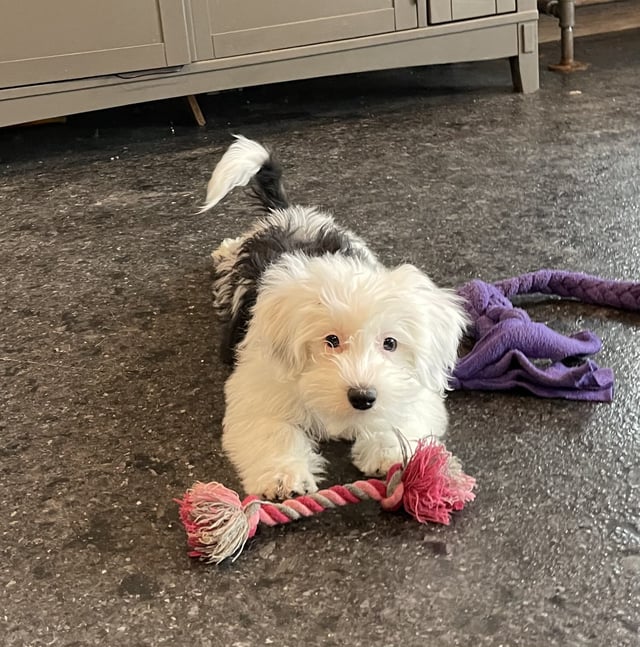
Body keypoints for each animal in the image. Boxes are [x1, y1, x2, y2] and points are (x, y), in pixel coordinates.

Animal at [200, 135, 464, 502]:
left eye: (390, 343)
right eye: (331, 340)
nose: (363, 397)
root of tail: (288, 213)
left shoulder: (413, 388)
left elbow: (401, 410)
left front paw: (388, 452)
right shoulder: (258, 386)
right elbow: (272, 429)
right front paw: (283, 475)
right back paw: (223, 249)